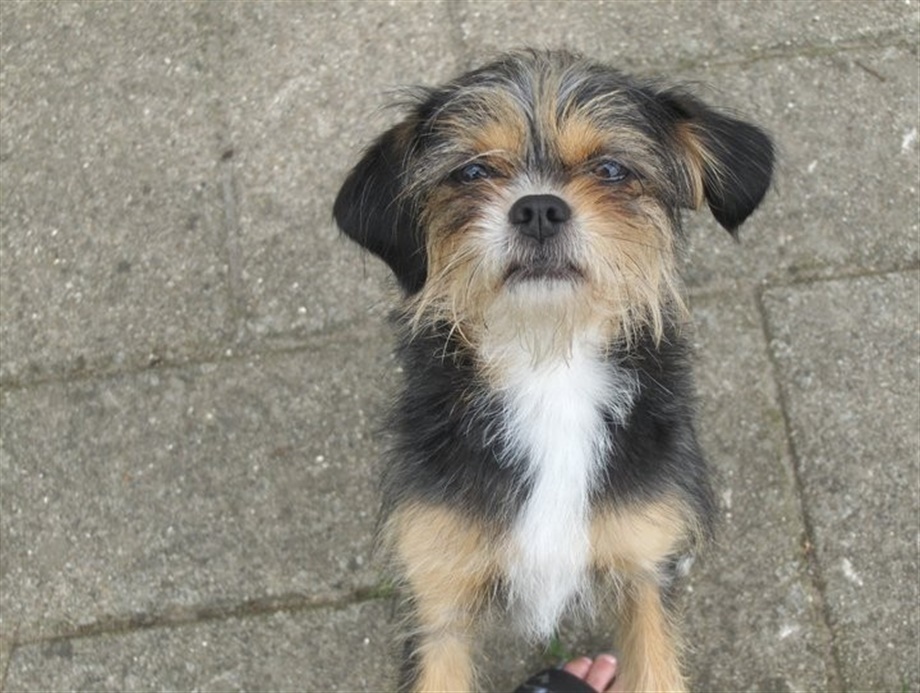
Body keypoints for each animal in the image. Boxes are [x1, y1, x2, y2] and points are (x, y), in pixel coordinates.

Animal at [334, 49, 773, 692]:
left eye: (611, 168)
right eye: (471, 171)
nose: (538, 209)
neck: (547, 367)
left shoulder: (645, 567)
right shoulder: (437, 590)